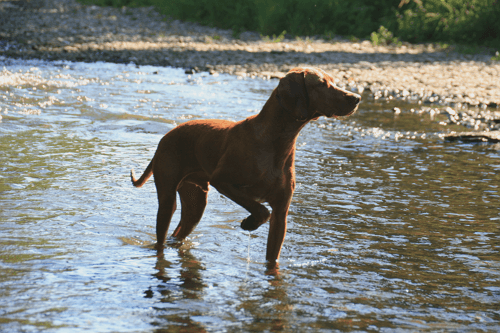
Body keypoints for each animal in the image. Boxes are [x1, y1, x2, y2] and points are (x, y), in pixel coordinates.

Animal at [132, 66, 360, 266]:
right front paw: (250, 223)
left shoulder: (281, 214)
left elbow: (272, 257)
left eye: (333, 81)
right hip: (168, 199)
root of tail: (165, 137)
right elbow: (261, 209)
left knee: (178, 233)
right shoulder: (222, 181)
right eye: (321, 84)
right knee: (162, 238)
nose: (356, 98)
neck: (278, 142)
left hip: (195, 205)